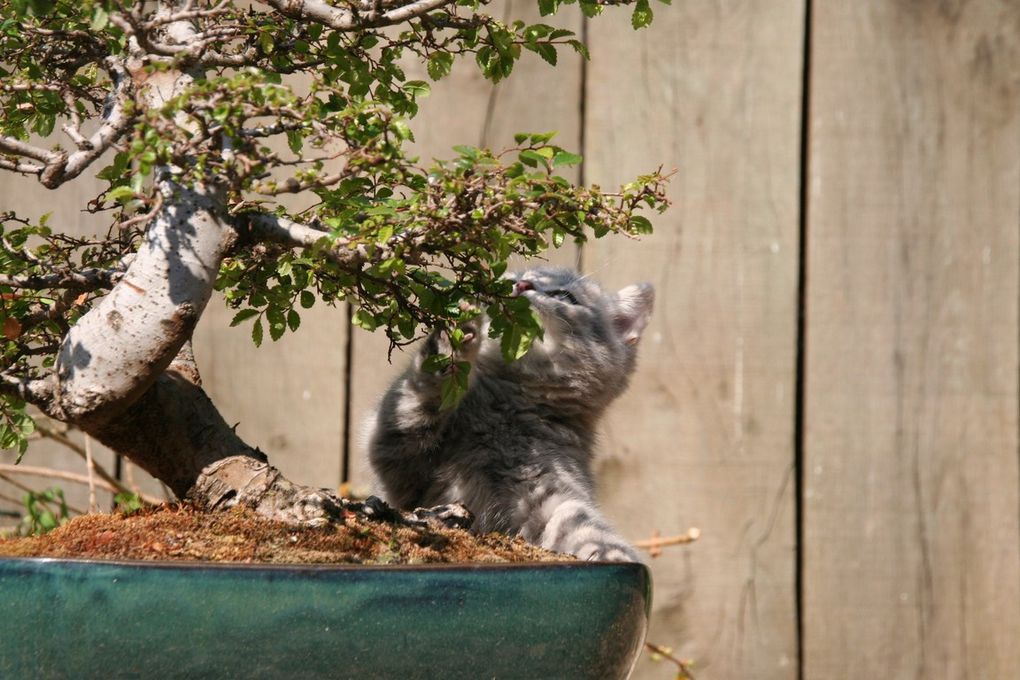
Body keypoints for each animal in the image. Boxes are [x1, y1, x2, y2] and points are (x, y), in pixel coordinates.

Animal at [367, 269, 652, 562]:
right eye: (511, 278)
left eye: (564, 295)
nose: (522, 284)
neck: (503, 413)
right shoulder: (397, 468)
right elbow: (413, 403)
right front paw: (452, 344)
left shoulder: (549, 495)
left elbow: (579, 527)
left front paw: (611, 554)